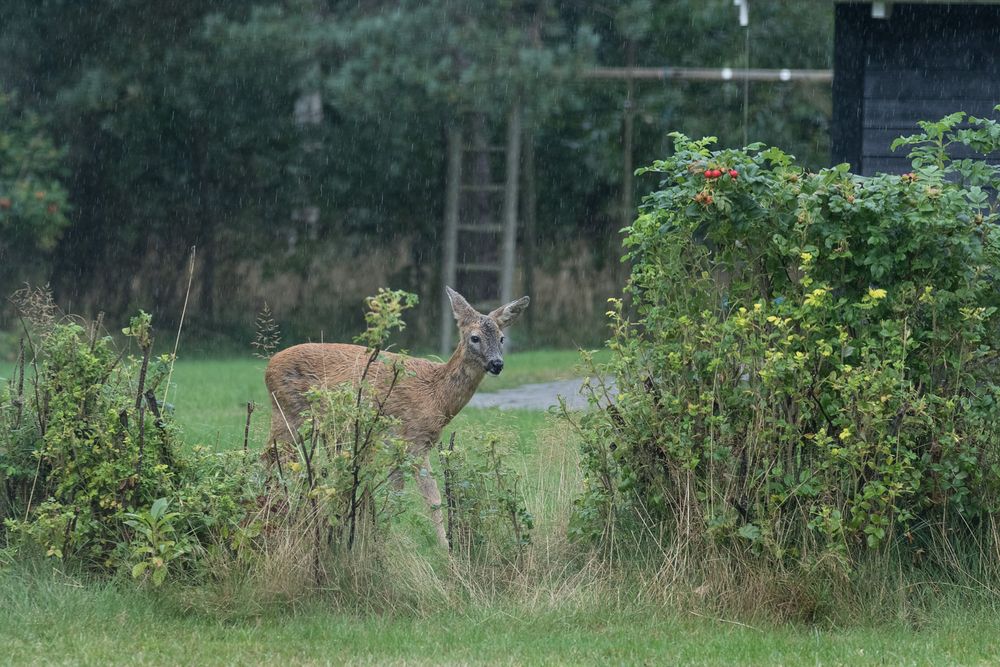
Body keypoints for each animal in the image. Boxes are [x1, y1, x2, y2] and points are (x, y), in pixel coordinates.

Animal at [266, 288, 532, 548]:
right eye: (474, 338)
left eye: (502, 338)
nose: (497, 364)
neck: (436, 395)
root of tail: (268, 368)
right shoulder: (413, 441)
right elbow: (433, 499)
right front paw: (446, 550)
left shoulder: (398, 448)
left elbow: (395, 495)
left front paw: (385, 538)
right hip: (289, 415)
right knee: (271, 460)